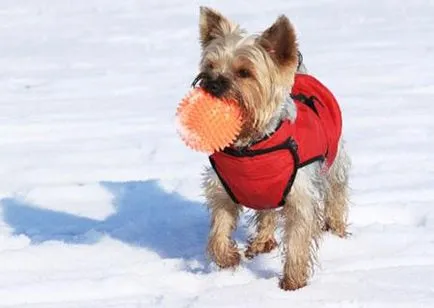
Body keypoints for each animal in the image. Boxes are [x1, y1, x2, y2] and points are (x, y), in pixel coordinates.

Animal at [195, 7, 350, 292]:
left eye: (244, 72)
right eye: (209, 66)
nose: (211, 83)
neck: (251, 147)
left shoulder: (300, 193)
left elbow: (298, 237)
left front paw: (293, 282)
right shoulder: (223, 188)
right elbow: (219, 228)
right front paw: (228, 258)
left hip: (335, 161)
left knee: (337, 192)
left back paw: (337, 231)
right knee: (266, 213)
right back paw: (261, 243)